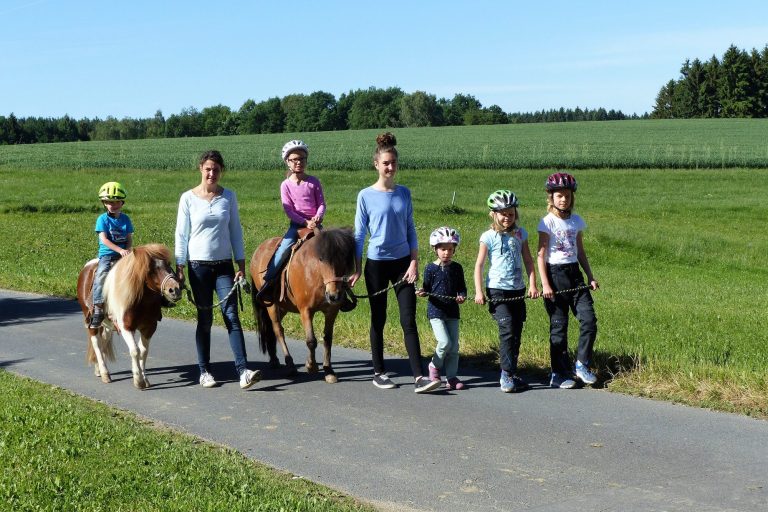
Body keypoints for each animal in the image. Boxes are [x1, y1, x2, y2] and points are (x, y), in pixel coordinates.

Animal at [76, 243, 182, 388]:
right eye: (150, 269)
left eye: (168, 264)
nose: (175, 290)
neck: (140, 300)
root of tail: (87, 267)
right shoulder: (126, 327)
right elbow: (135, 351)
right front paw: (138, 380)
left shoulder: (149, 327)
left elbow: (143, 351)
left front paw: (145, 379)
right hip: (91, 321)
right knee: (97, 343)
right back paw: (104, 373)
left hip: (108, 324)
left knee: (104, 341)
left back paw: (98, 369)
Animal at [254, 229, 358, 384]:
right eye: (321, 259)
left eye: (345, 260)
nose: (334, 296)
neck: (315, 274)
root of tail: (259, 249)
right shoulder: (306, 311)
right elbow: (311, 340)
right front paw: (311, 365)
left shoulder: (331, 311)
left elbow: (327, 339)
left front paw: (328, 370)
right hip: (271, 307)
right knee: (278, 331)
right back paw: (290, 365)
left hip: (282, 307)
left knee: (271, 330)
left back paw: (274, 360)